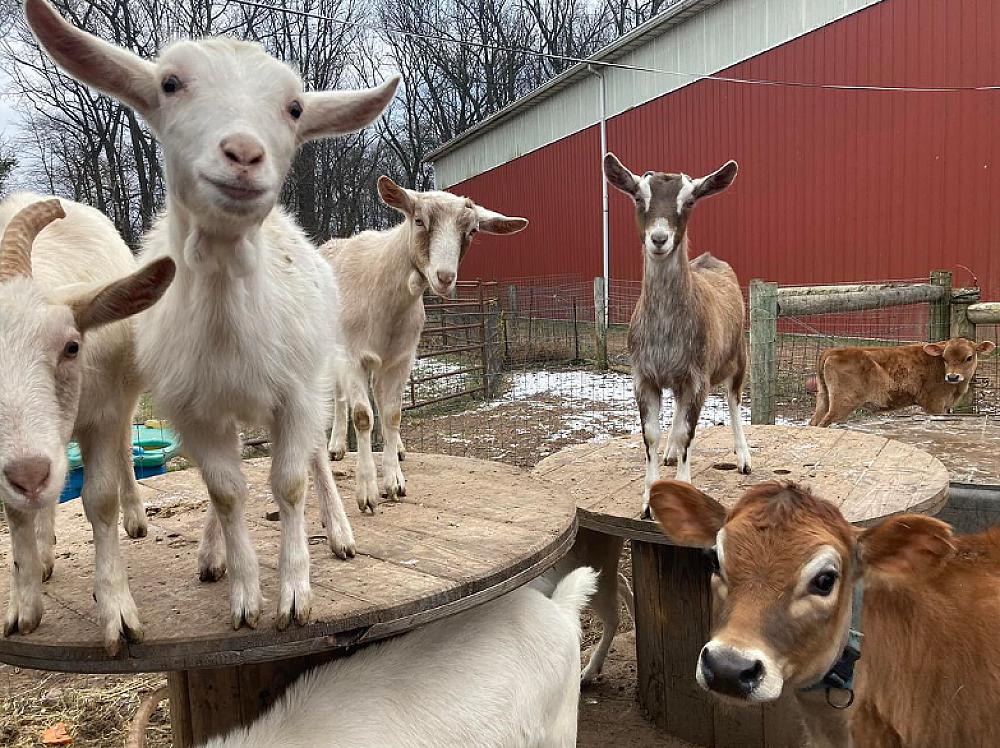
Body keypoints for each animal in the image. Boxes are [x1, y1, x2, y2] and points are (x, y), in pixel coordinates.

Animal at [0, 196, 174, 652]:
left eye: (72, 346)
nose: (29, 476)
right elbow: (16, 513)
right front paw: (24, 606)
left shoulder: (104, 416)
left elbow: (99, 500)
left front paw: (117, 612)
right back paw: (45, 551)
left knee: (124, 451)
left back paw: (135, 518)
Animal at [26, 0, 399, 635]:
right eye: (170, 84)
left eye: (294, 107)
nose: (245, 155)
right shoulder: (194, 409)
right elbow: (226, 492)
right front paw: (245, 596)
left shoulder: (295, 394)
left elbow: (291, 482)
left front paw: (294, 595)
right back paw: (212, 552)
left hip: (316, 377)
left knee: (315, 459)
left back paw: (339, 531)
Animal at [324, 177, 527, 511]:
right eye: (419, 220)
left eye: (472, 231)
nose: (444, 277)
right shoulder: (353, 356)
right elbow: (363, 416)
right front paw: (367, 492)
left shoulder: (402, 358)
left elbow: (392, 413)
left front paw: (394, 481)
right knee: (339, 397)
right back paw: (336, 446)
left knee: (378, 398)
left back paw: (394, 448)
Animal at [603, 153, 751, 517]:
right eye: (638, 197)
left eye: (690, 200)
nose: (659, 238)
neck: (667, 332)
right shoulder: (644, 376)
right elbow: (651, 435)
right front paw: (648, 499)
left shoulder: (697, 377)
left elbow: (688, 433)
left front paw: (684, 490)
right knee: (680, 407)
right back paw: (670, 454)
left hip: (738, 357)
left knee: (734, 402)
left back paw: (744, 458)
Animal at [810, 337, 996, 427]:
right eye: (944, 358)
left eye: (969, 357)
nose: (952, 377)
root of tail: (833, 351)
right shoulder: (934, 404)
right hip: (843, 403)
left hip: (824, 398)